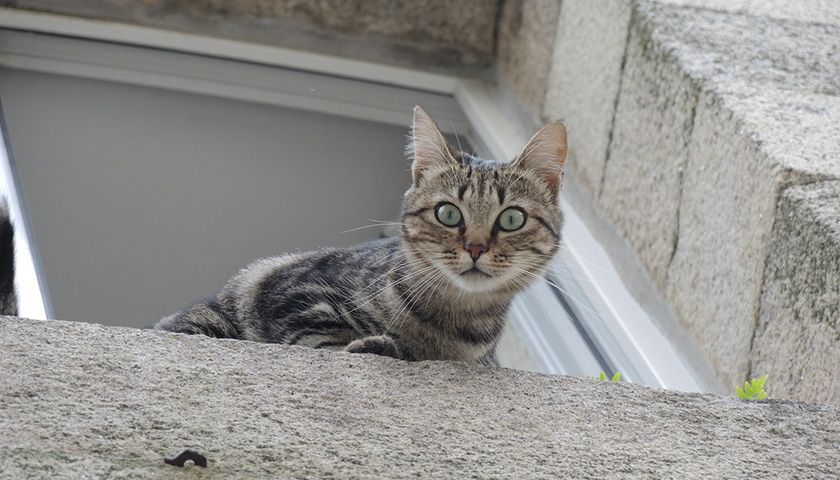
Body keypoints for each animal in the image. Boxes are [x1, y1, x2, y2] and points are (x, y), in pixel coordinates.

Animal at [154, 108, 568, 364]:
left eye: (512, 218)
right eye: (448, 213)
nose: (476, 247)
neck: (449, 327)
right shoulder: (296, 291)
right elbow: (326, 334)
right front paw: (373, 345)